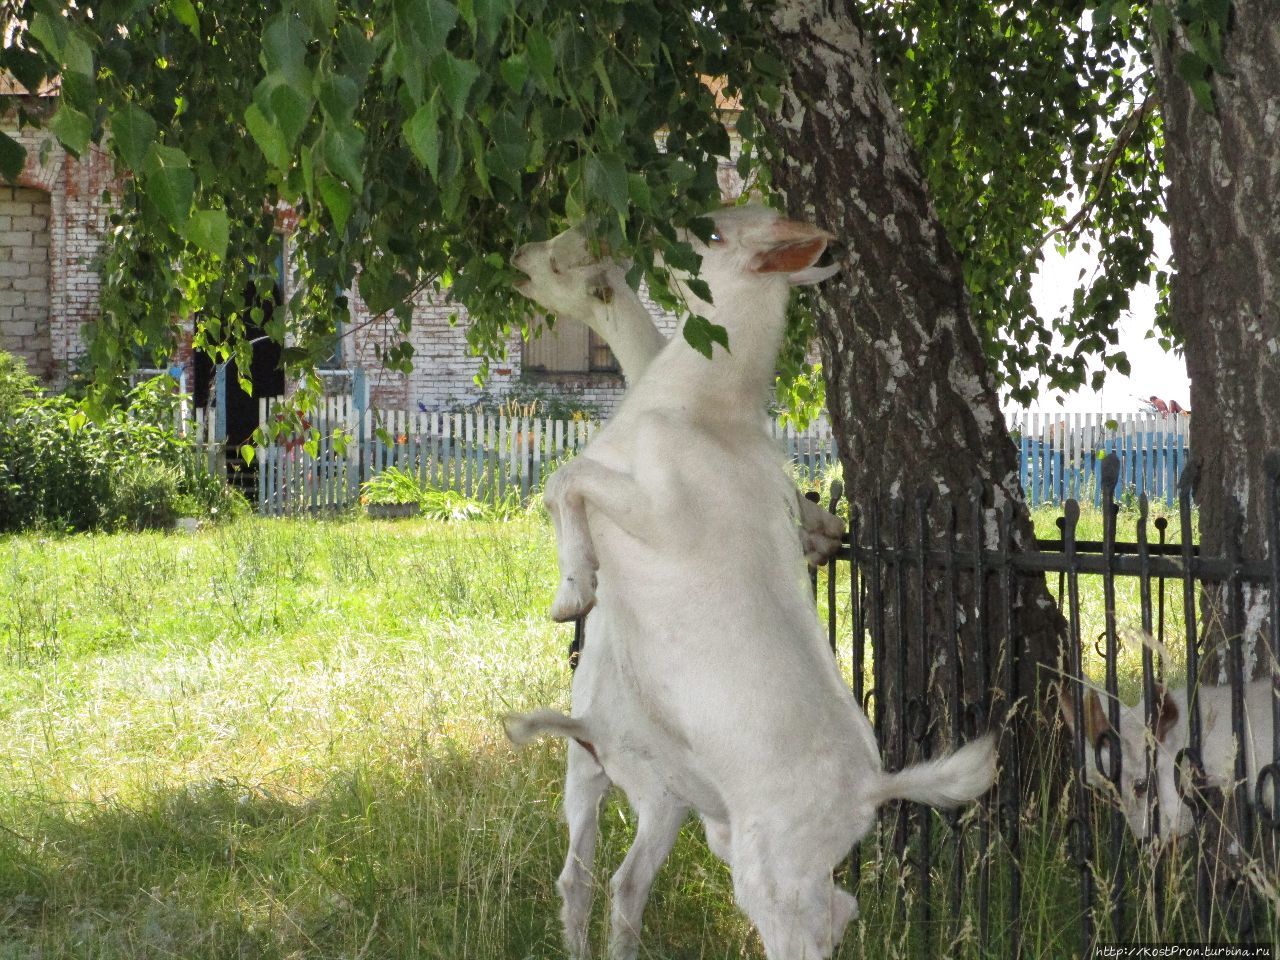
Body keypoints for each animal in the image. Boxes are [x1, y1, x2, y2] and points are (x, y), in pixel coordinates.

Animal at [501, 207, 998, 957]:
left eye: (711, 233)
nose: (656, 230)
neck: (707, 409)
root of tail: (871, 789)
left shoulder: (657, 511)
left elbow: (567, 480)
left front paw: (572, 592)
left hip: (760, 867)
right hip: (735, 839)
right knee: (839, 907)